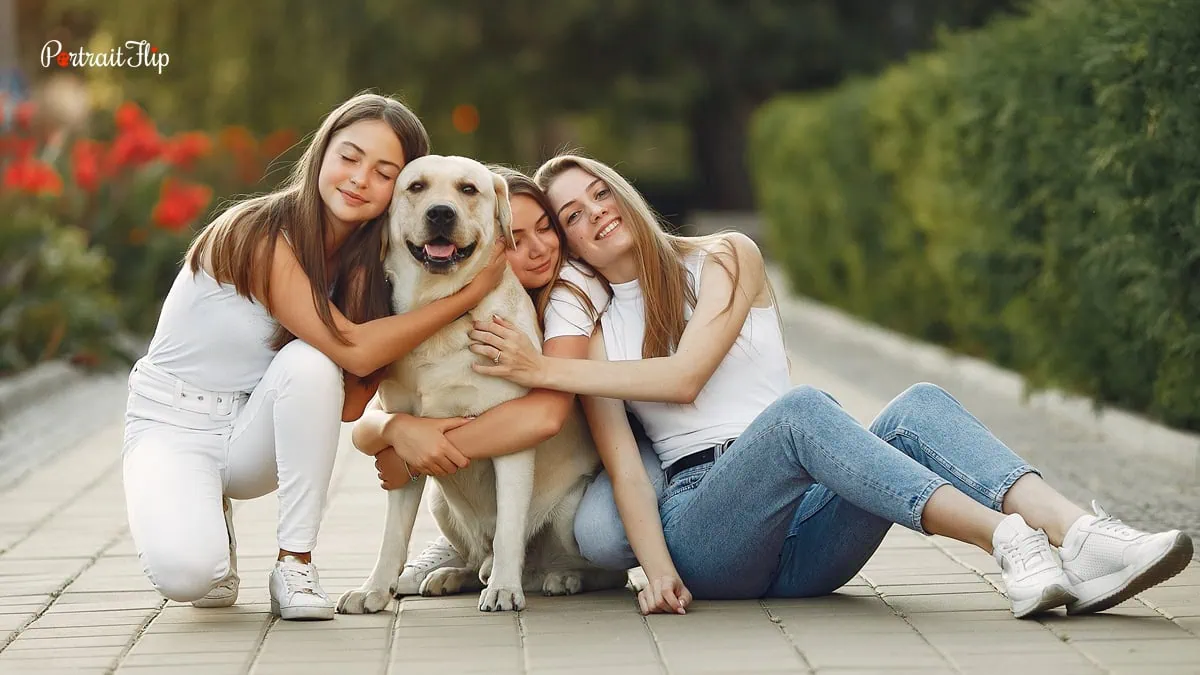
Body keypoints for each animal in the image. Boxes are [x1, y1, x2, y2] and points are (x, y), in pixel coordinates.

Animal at [333, 154, 624, 612]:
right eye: (416, 187)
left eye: (468, 189)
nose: (440, 213)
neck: (439, 313)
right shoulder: (403, 445)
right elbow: (392, 537)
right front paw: (373, 590)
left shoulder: (515, 435)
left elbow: (508, 530)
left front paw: (504, 589)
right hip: (440, 503)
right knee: (477, 555)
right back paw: (452, 576)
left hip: (568, 511)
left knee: (596, 570)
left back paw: (559, 577)